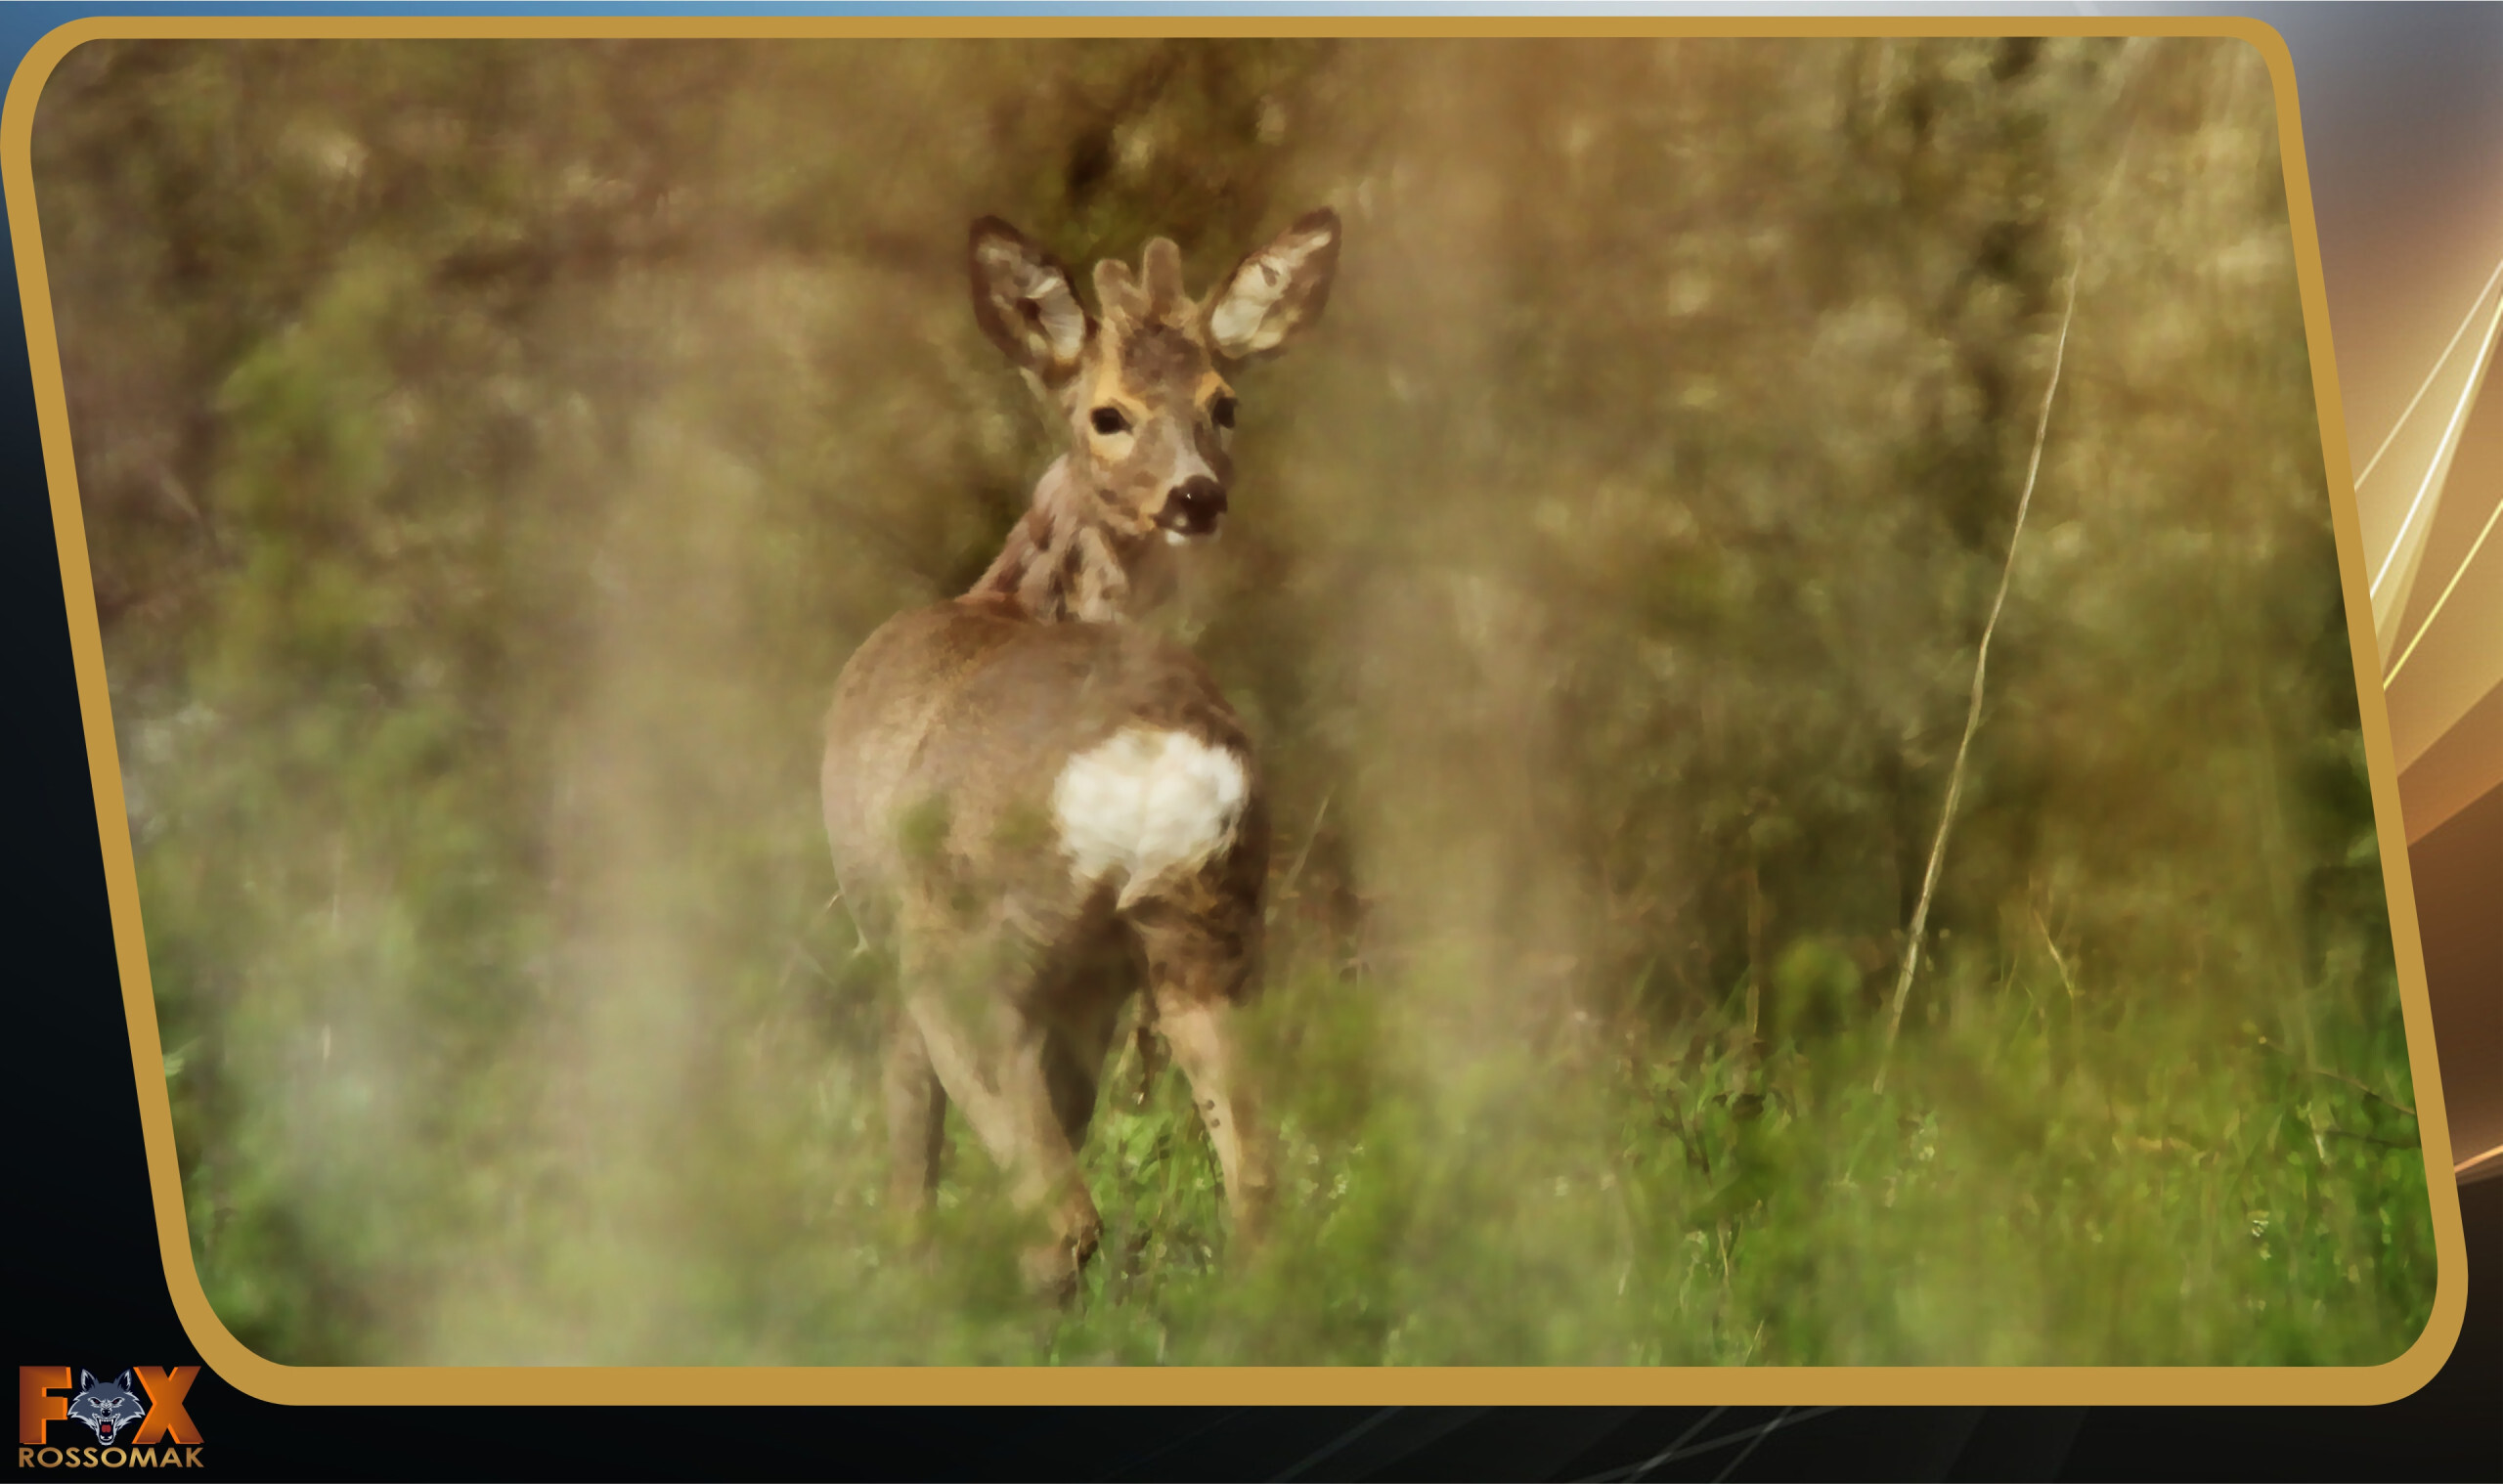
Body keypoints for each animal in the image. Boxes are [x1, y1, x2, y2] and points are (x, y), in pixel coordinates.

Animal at [820, 209, 1341, 1296]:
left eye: (1224, 404)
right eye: (1109, 414)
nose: (1195, 497)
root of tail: (1140, 756)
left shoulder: (882, 922)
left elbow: (909, 1147)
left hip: (968, 948)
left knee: (1055, 1217)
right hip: (1210, 930)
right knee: (1258, 1195)